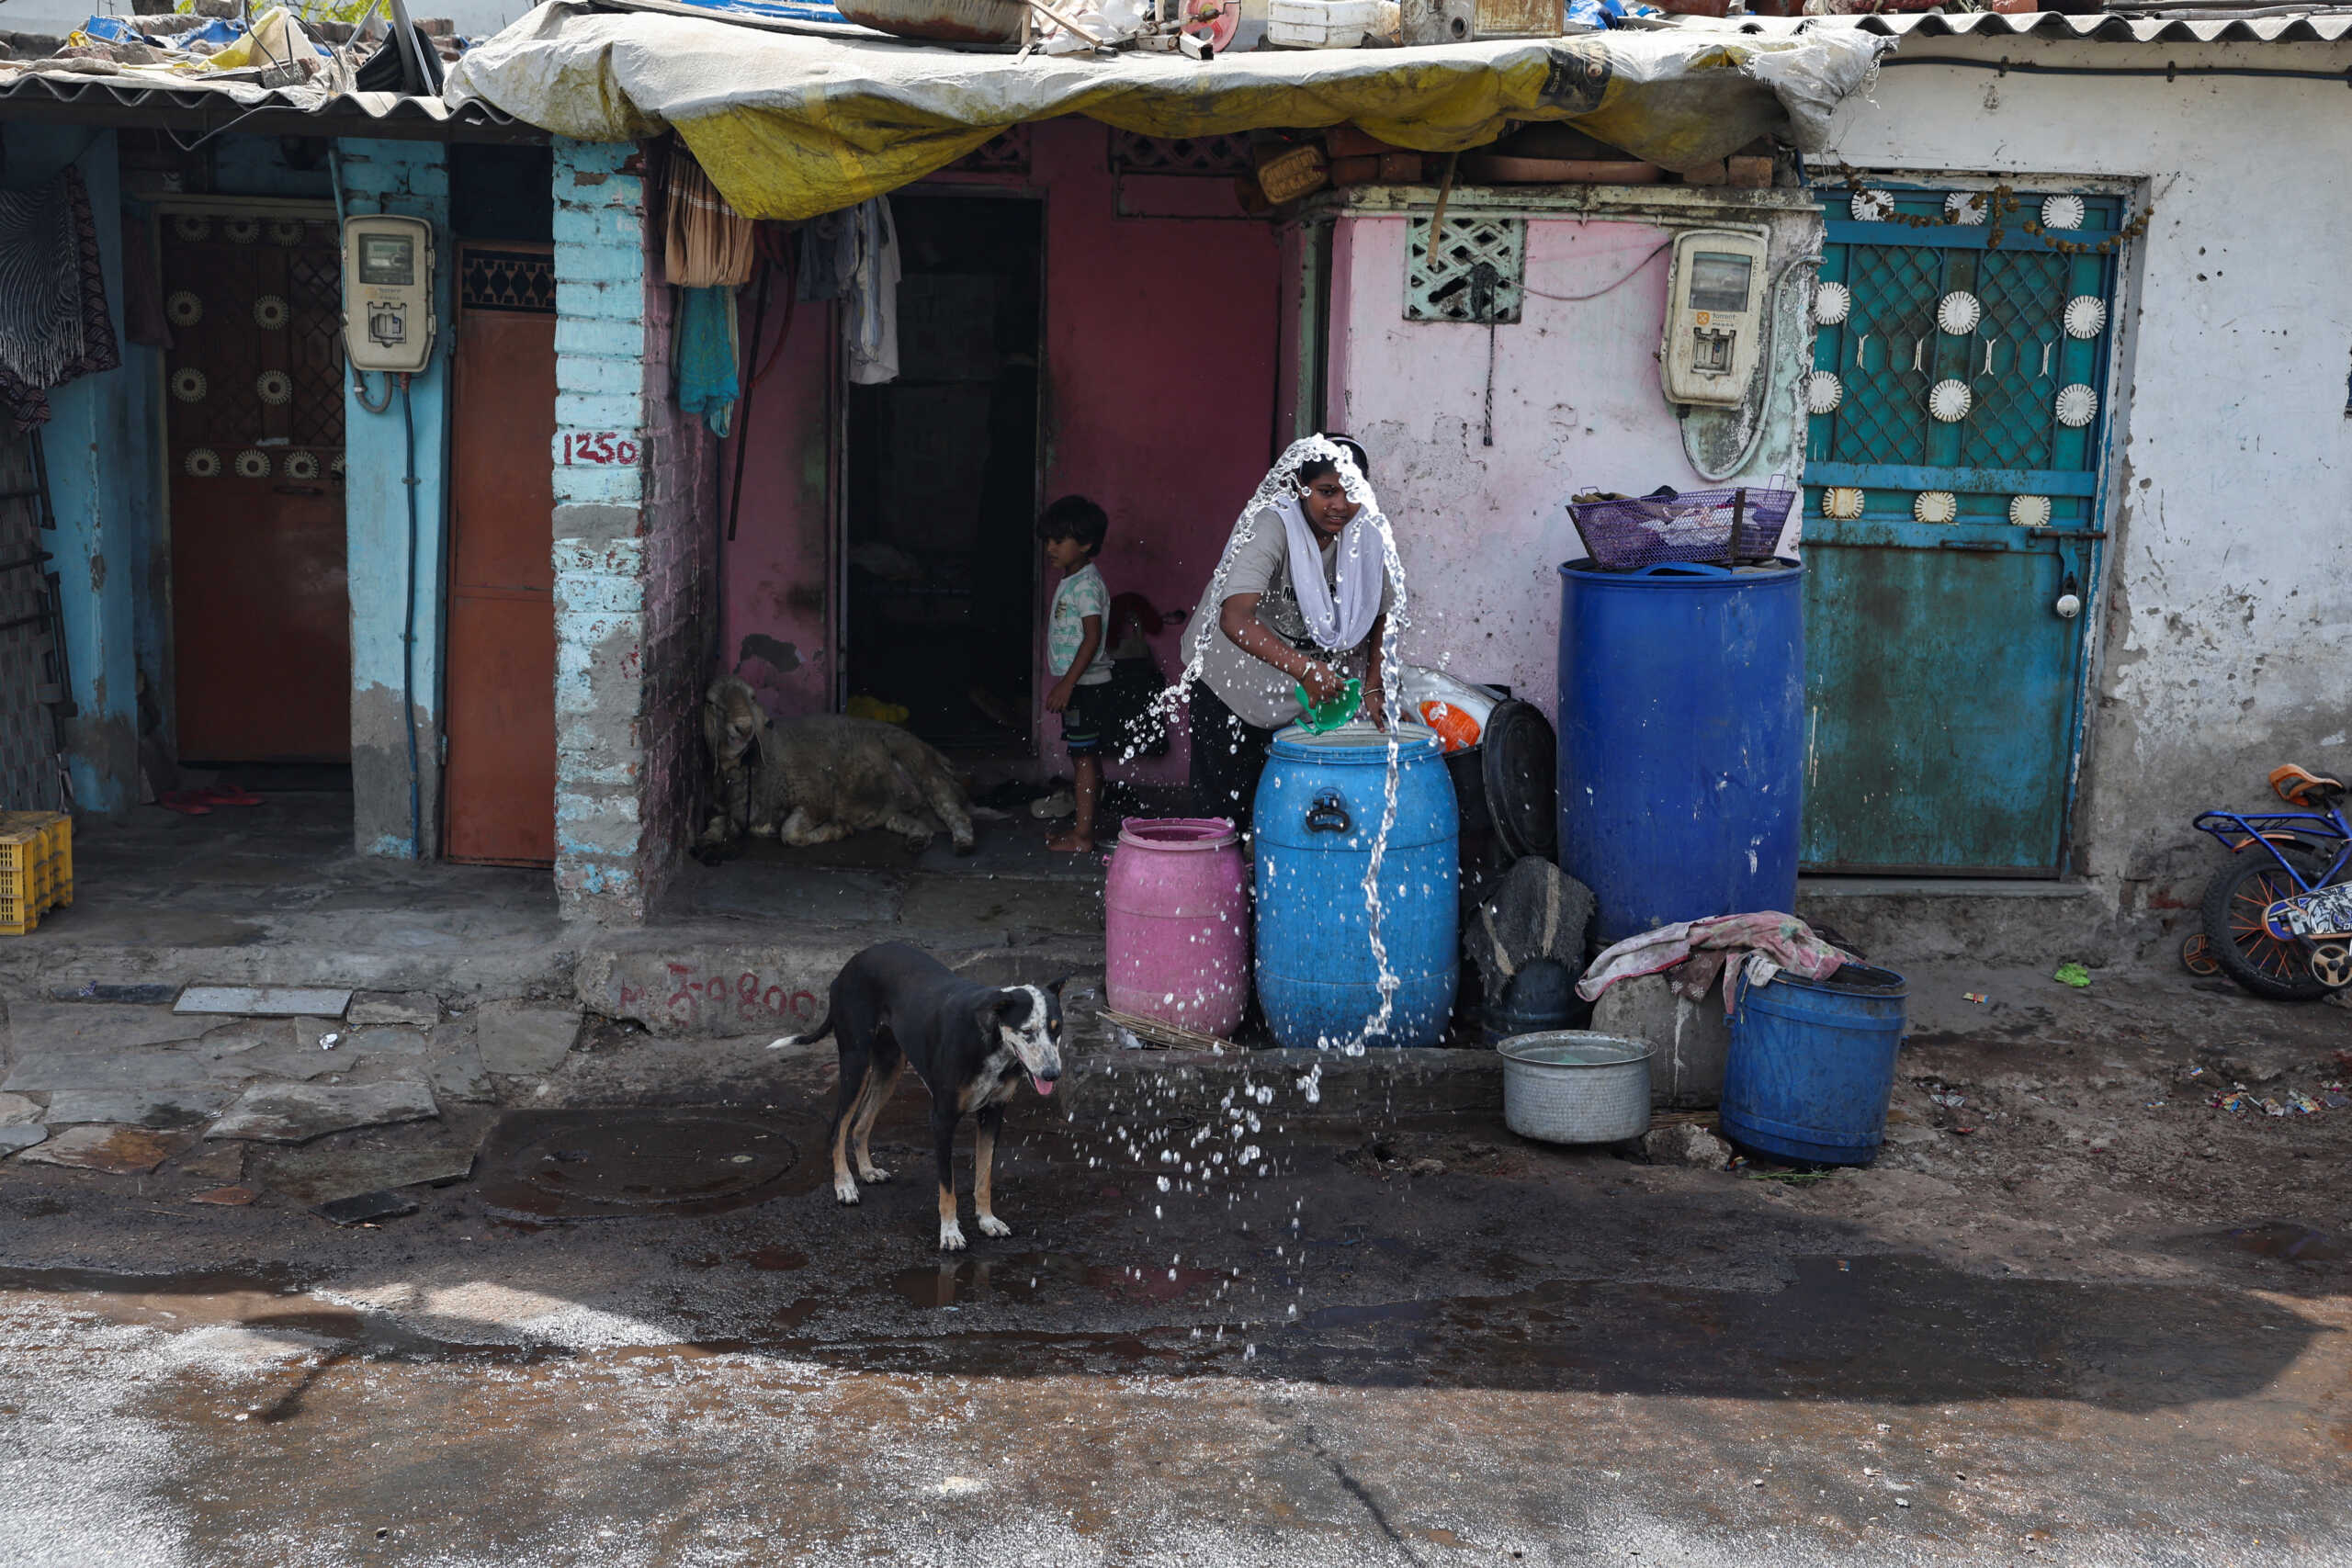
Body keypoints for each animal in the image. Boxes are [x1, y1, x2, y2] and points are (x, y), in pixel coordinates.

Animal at [771, 944, 1068, 1250]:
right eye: (1027, 1031)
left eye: (1057, 1028)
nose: (1052, 1074)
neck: (991, 1039)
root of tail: (851, 964)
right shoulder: (942, 1120)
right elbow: (947, 1187)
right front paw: (949, 1232)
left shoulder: (993, 1114)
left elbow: (984, 1177)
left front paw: (987, 1221)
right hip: (856, 1063)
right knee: (837, 1128)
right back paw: (844, 1185)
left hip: (890, 1066)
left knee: (860, 1125)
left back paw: (867, 1171)